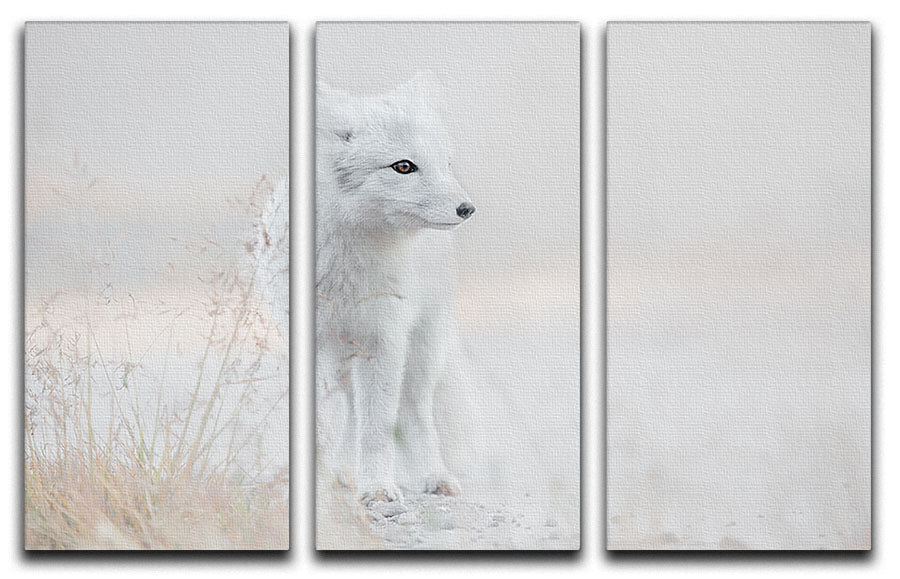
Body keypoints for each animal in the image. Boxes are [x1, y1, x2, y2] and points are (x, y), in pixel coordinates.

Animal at [316, 78, 475, 506]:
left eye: (445, 163)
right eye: (403, 166)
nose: (467, 208)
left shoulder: (383, 339)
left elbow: (376, 428)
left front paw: (377, 489)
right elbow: (325, 423)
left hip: (420, 354)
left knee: (412, 413)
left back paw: (434, 478)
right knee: (347, 414)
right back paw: (341, 473)